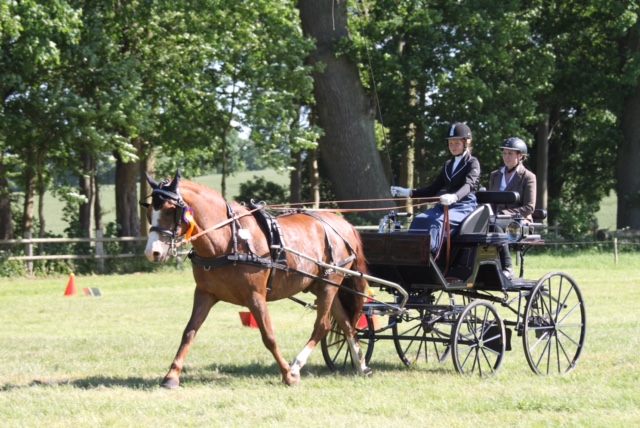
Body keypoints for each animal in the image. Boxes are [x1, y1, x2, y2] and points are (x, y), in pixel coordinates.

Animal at [140, 171, 370, 388]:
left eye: (169, 210)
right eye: (150, 212)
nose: (153, 253)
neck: (229, 239)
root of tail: (343, 223)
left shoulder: (255, 296)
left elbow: (268, 336)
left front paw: (287, 375)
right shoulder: (205, 294)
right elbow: (189, 332)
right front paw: (171, 376)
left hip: (329, 284)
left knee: (322, 326)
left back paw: (297, 366)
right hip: (320, 285)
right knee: (346, 323)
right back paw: (361, 365)